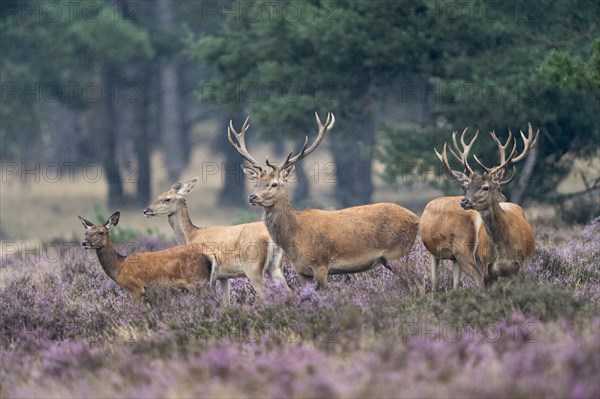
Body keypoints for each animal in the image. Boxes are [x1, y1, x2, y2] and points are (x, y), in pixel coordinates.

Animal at [79, 212, 218, 304]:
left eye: (101, 232)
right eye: (86, 233)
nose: (84, 242)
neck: (119, 267)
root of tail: (209, 256)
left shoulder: (135, 289)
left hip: (198, 281)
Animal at [143, 180, 288, 304]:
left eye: (167, 199)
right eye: (158, 196)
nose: (146, 210)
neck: (191, 235)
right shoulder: (224, 276)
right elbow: (226, 303)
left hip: (253, 266)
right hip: (275, 266)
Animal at [227, 112, 420, 290]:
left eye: (274, 184)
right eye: (256, 183)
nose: (252, 197)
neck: (295, 236)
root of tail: (416, 218)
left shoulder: (320, 264)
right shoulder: (301, 271)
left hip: (398, 253)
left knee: (416, 284)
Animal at [420, 123, 536, 290]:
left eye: (488, 187)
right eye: (469, 187)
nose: (464, 201)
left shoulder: (435, 252)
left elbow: (435, 284)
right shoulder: (453, 258)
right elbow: (454, 285)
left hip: (464, 250)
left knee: (479, 279)